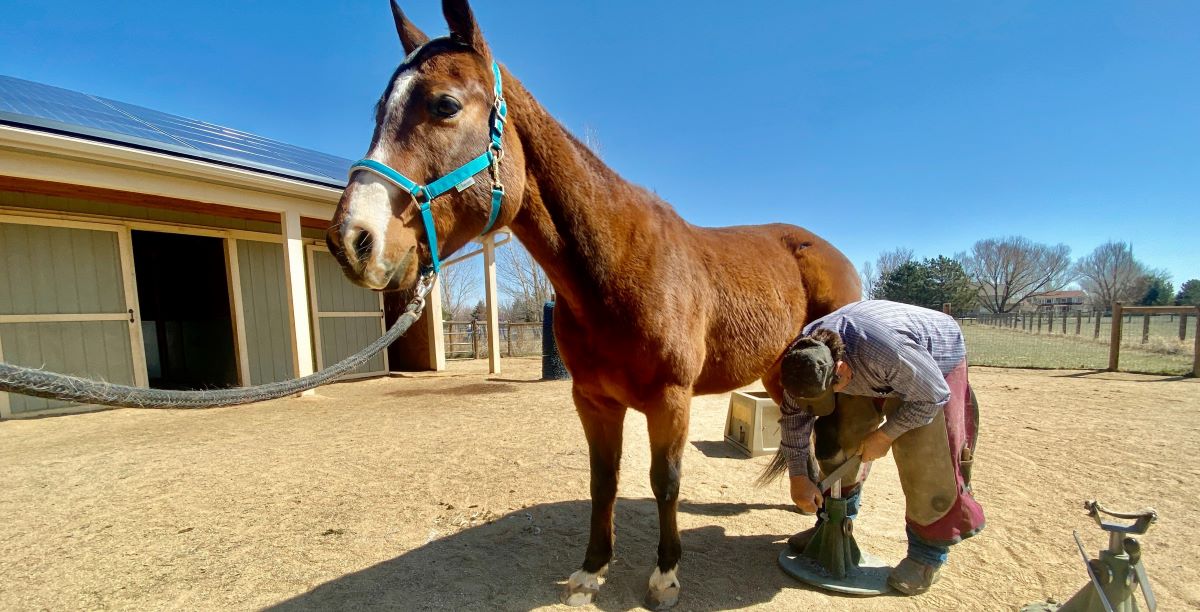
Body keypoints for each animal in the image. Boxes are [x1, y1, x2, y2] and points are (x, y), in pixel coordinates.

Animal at [326, 1, 862, 607]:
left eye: (445, 104)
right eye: (380, 110)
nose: (352, 238)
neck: (618, 268)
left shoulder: (671, 401)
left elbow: (665, 483)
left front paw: (665, 575)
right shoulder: (593, 401)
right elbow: (602, 480)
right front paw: (592, 570)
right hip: (780, 370)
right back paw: (805, 505)